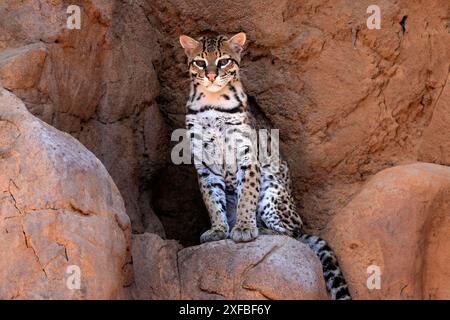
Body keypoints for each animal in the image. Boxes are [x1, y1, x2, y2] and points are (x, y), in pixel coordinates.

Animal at [179, 32, 352, 300]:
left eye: (223, 61)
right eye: (199, 62)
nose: (211, 76)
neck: (212, 102)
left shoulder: (248, 154)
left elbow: (247, 196)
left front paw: (244, 227)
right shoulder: (204, 163)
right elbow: (212, 199)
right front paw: (218, 229)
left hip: (273, 190)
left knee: (293, 234)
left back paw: (263, 230)